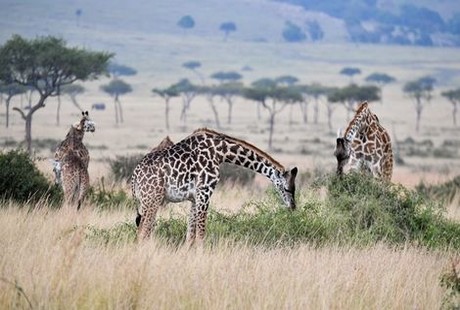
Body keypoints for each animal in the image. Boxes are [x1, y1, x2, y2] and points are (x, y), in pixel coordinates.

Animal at [132, 128, 298, 245]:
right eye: (287, 188)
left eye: (294, 188)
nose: (293, 207)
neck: (220, 153)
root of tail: (135, 177)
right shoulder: (205, 192)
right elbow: (200, 235)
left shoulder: (194, 198)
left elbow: (190, 236)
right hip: (153, 199)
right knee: (142, 232)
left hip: (148, 202)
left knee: (143, 231)